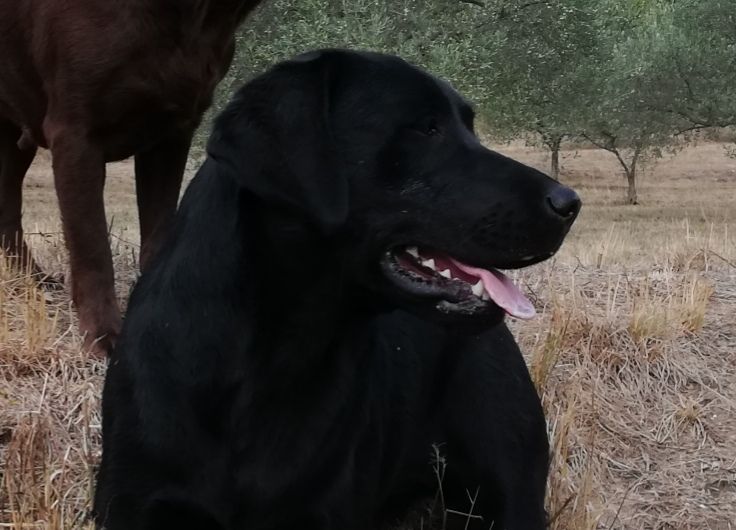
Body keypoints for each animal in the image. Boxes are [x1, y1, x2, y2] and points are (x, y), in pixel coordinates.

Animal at [0, 2, 264, 354]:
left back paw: (32, 281)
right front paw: (105, 335)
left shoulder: (172, 132)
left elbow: (158, 235)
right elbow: (92, 246)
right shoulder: (76, 135)